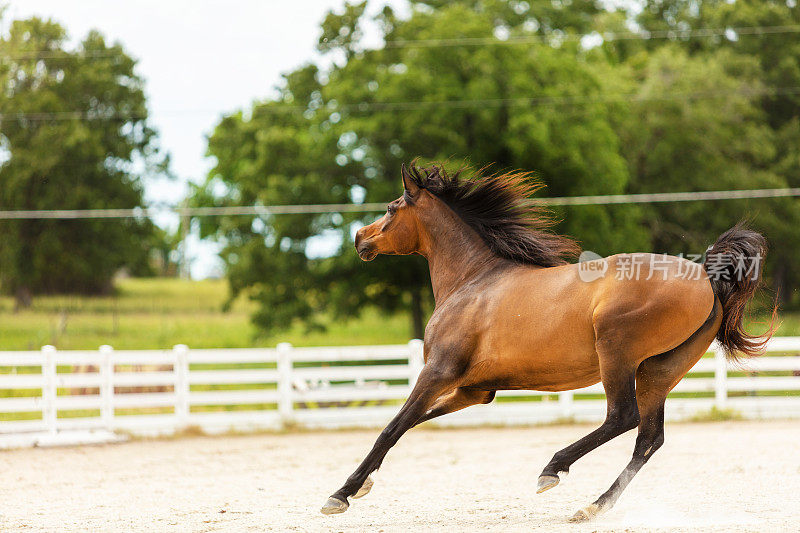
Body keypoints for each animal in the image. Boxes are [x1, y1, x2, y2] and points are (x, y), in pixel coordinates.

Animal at [320, 161, 776, 520]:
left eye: (391, 208)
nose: (360, 238)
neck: (473, 280)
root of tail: (706, 277)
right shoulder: (473, 390)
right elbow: (413, 421)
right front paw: (363, 485)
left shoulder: (438, 372)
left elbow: (392, 427)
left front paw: (341, 494)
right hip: (658, 371)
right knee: (648, 440)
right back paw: (592, 507)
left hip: (617, 356)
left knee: (622, 417)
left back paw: (552, 470)